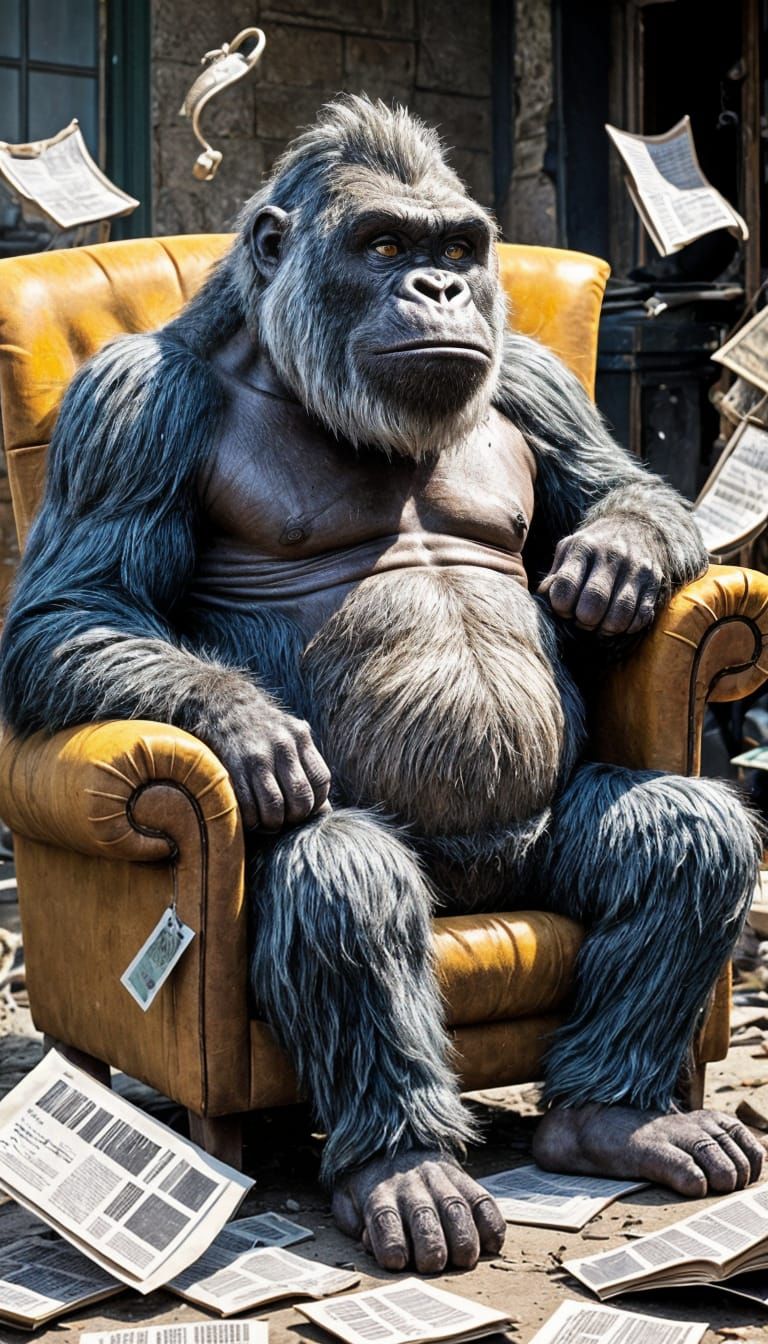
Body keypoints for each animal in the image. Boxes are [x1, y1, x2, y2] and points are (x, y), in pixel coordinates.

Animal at [0, 96, 762, 1276]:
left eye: (454, 246)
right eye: (385, 246)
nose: (442, 288)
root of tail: (481, 892)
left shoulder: (535, 377)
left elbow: (619, 480)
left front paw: (620, 557)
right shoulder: (127, 406)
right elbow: (73, 606)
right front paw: (243, 722)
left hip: (537, 851)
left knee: (686, 838)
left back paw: (615, 1117)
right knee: (342, 880)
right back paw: (405, 1167)